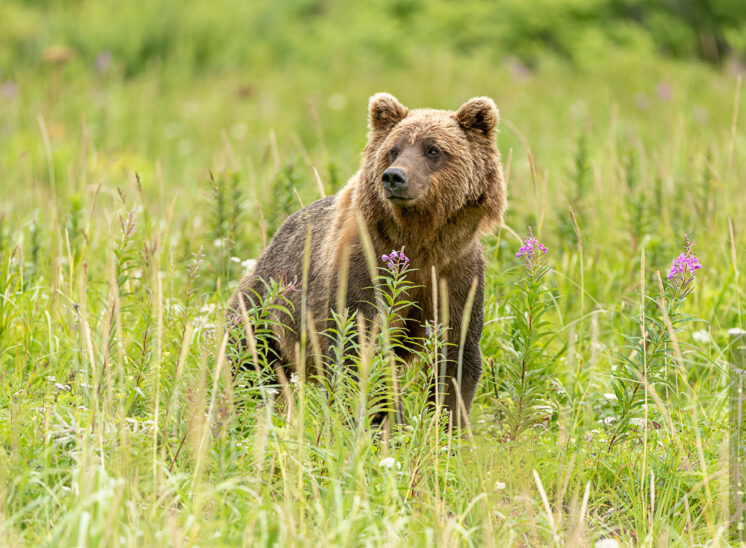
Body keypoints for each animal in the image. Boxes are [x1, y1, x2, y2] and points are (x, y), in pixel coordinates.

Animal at [227, 92, 506, 422]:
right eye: (393, 150)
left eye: (433, 149)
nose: (395, 176)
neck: (420, 239)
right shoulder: (365, 266)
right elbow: (360, 347)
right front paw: (387, 421)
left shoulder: (457, 271)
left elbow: (456, 349)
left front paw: (446, 423)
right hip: (266, 307)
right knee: (247, 360)